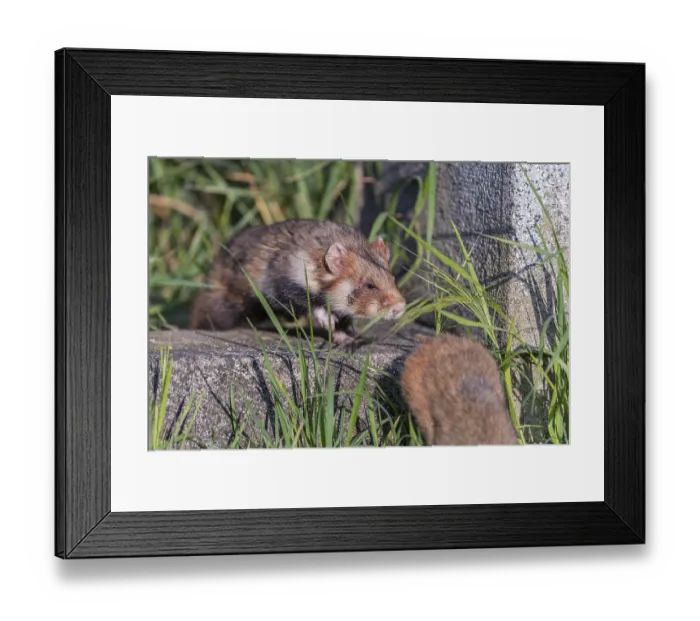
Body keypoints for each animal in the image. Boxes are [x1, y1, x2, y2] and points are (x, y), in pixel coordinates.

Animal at [190, 219, 406, 344]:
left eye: (392, 277)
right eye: (370, 285)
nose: (400, 307)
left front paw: (346, 338)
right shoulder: (283, 286)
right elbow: (308, 303)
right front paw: (326, 319)